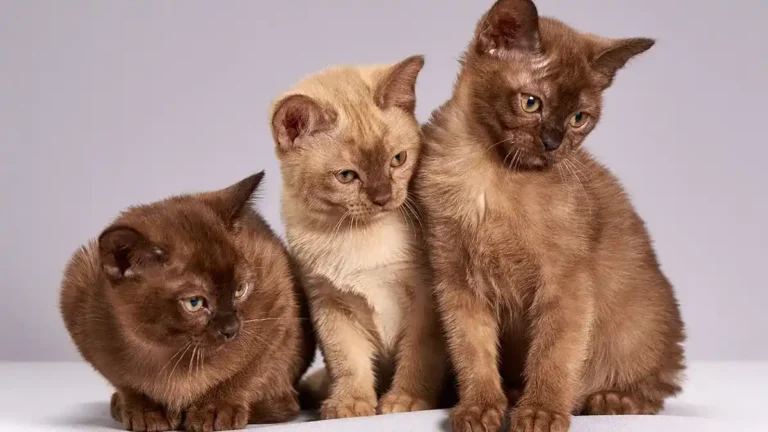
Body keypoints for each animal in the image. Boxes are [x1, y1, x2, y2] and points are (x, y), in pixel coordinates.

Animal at [59, 172, 315, 432]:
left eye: (239, 291)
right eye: (195, 302)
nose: (231, 329)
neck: (168, 355)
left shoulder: (278, 312)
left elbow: (246, 373)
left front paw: (215, 409)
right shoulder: (77, 302)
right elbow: (127, 384)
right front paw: (146, 412)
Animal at [269, 55, 449, 419]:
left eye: (398, 159)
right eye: (346, 176)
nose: (382, 198)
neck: (360, 237)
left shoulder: (425, 299)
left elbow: (417, 355)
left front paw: (406, 401)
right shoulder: (330, 305)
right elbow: (348, 363)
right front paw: (350, 404)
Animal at [414, 1, 686, 432]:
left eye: (579, 118)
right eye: (531, 103)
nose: (553, 142)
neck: (491, 178)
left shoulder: (565, 285)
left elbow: (553, 356)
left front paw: (541, 413)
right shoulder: (457, 283)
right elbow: (472, 354)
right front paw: (479, 410)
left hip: (639, 325)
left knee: (655, 386)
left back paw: (609, 399)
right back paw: (511, 394)